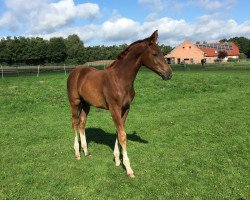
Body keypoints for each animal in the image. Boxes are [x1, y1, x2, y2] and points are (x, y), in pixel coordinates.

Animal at [66, 30, 173, 177]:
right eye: (155, 54)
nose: (169, 74)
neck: (120, 79)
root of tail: (75, 71)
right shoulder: (114, 108)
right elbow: (122, 135)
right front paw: (128, 168)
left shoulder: (125, 108)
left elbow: (119, 131)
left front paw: (117, 159)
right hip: (74, 102)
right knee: (74, 123)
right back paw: (77, 153)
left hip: (86, 104)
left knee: (82, 123)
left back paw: (86, 151)